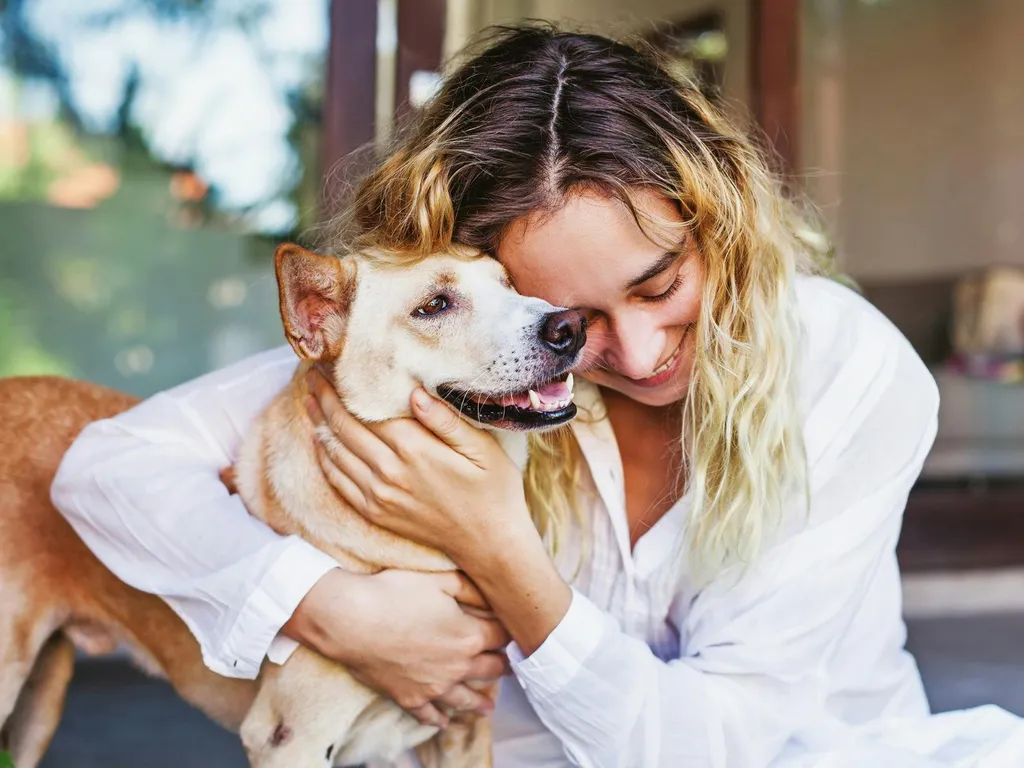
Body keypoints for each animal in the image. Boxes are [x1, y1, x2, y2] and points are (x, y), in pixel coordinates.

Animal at [0, 241, 585, 768]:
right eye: (434, 305)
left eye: (509, 283)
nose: (569, 325)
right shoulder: (289, 738)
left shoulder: (462, 732)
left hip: (39, 704)